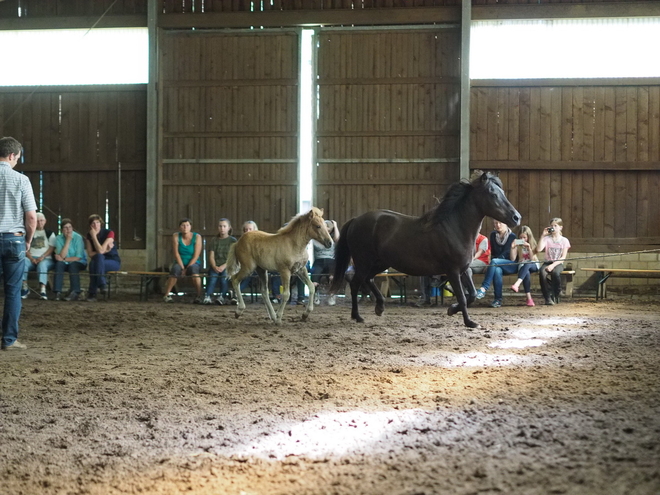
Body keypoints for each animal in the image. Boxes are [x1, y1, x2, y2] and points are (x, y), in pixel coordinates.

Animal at [330, 171, 520, 330]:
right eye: (493, 194)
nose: (516, 217)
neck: (455, 227)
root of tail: (356, 220)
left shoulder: (464, 270)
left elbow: (472, 294)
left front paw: (451, 310)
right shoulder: (452, 271)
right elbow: (462, 297)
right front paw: (469, 322)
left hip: (380, 263)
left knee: (368, 279)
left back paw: (380, 307)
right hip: (364, 262)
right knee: (356, 283)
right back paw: (357, 316)